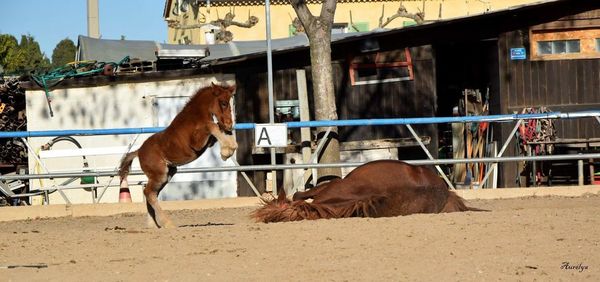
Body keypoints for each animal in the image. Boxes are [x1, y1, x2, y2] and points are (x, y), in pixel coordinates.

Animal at [118, 82, 238, 228]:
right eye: (223, 103)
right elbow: (211, 126)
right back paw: (167, 223)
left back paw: (153, 225)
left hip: (167, 175)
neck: (195, 117)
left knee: (150, 193)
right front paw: (226, 152)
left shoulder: (209, 142)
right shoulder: (196, 143)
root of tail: (139, 151)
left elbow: (219, 129)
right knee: (149, 193)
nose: (229, 125)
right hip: (160, 175)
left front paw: (229, 148)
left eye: (231, 102)